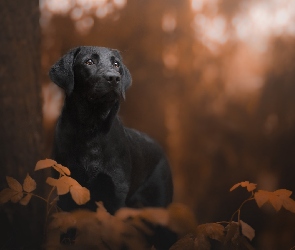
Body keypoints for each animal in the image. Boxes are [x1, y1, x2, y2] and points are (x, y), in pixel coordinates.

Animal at [49, 46, 172, 214]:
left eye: (116, 64)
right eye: (89, 62)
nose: (114, 78)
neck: (91, 129)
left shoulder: (116, 189)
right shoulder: (66, 185)